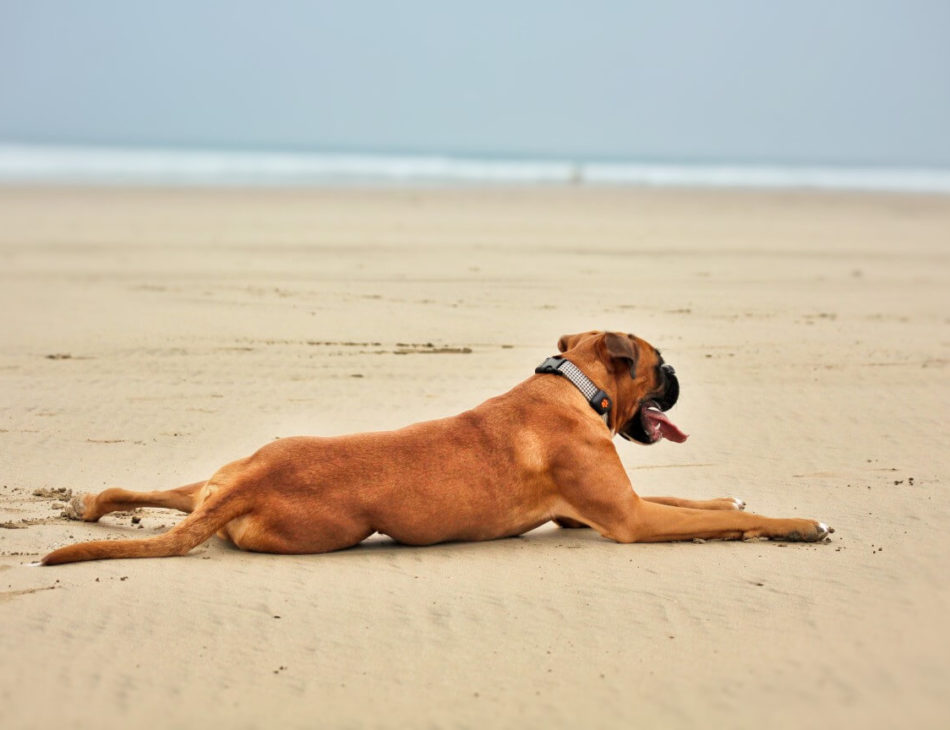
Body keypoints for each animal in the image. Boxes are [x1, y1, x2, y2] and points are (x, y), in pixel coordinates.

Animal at [41, 330, 832, 564]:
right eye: (658, 362)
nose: (678, 376)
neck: (573, 387)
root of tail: (242, 486)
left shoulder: (604, 507)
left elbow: (701, 499)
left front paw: (735, 498)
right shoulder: (630, 519)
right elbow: (711, 518)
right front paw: (799, 524)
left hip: (220, 472)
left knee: (153, 492)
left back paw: (87, 502)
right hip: (326, 529)